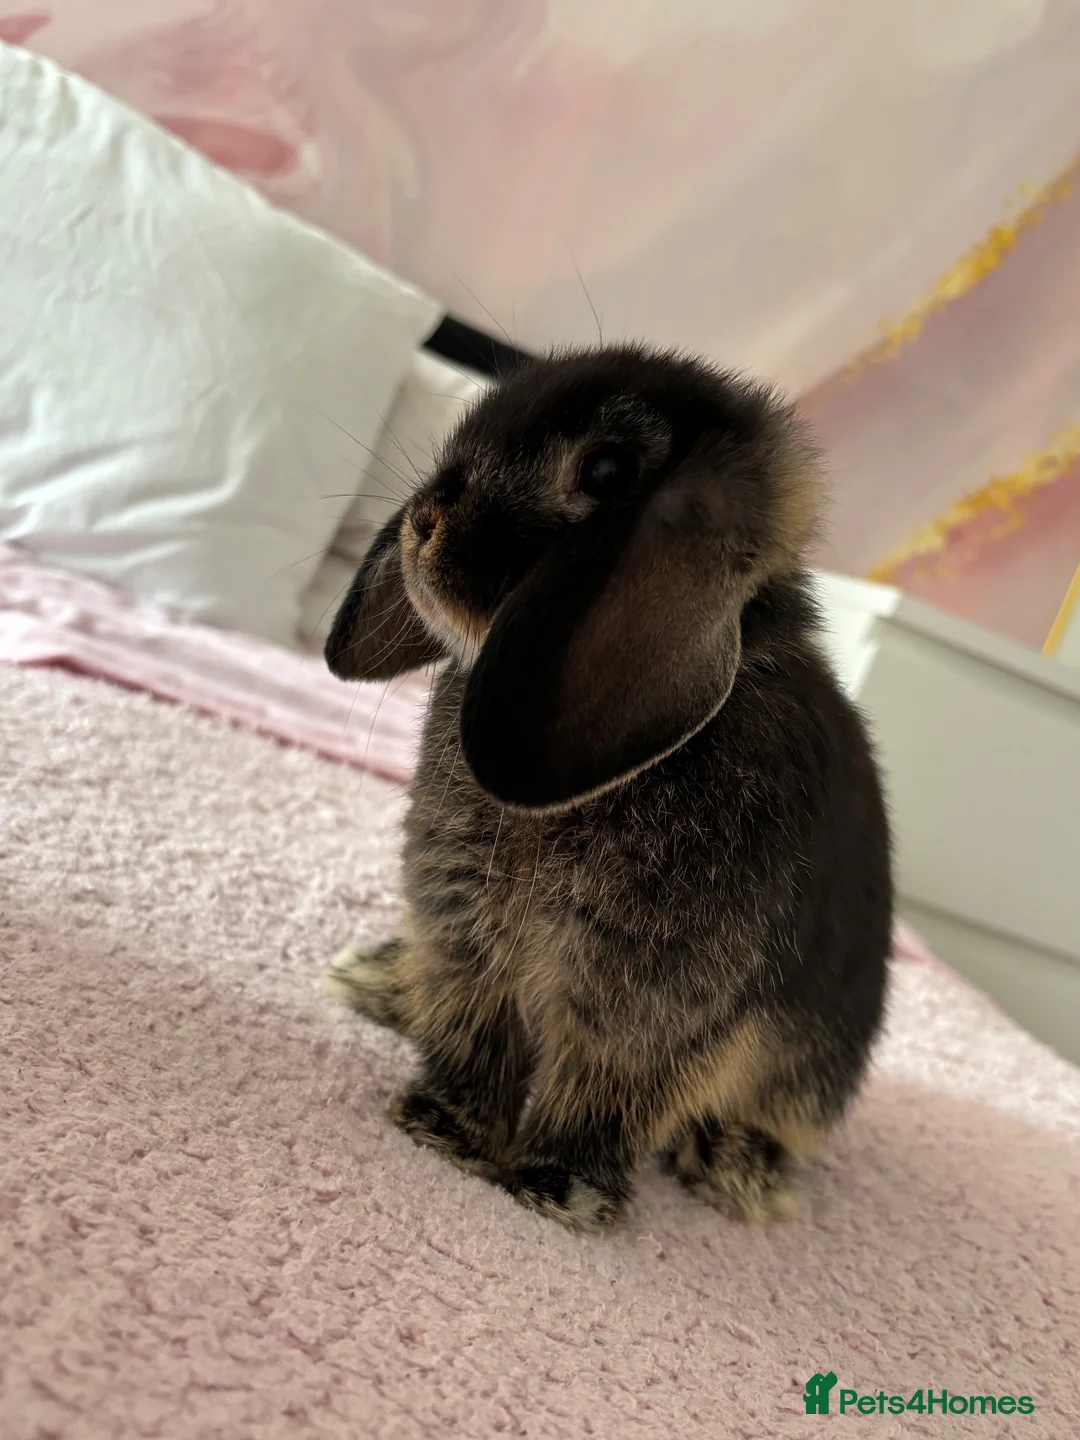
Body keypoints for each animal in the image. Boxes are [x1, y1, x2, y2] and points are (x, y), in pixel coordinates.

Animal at [323, 343, 892, 1232]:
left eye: (605, 471)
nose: (424, 521)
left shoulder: (643, 1006)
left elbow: (604, 1093)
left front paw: (558, 1191)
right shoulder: (466, 933)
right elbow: (472, 1036)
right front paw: (441, 1130)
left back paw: (738, 1171)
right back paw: (381, 981)